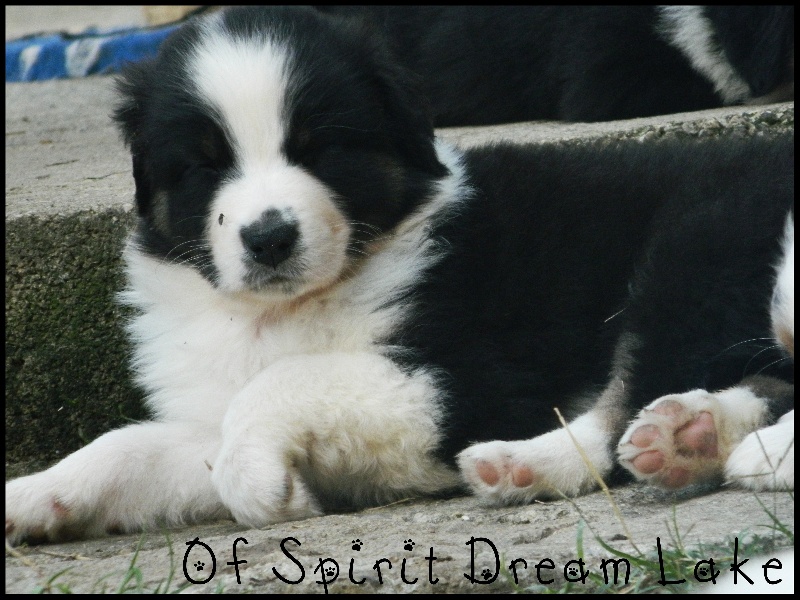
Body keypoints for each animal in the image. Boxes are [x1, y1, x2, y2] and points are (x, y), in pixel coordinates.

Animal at [5, 6, 794, 545]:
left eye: (319, 148)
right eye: (205, 164)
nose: (269, 238)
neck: (286, 309)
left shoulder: (462, 376)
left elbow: (282, 385)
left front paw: (266, 492)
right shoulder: (211, 408)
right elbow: (132, 444)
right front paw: (33, 495)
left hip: (693, 249)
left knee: (623, 403)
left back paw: (565, 454)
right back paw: (689, 437)